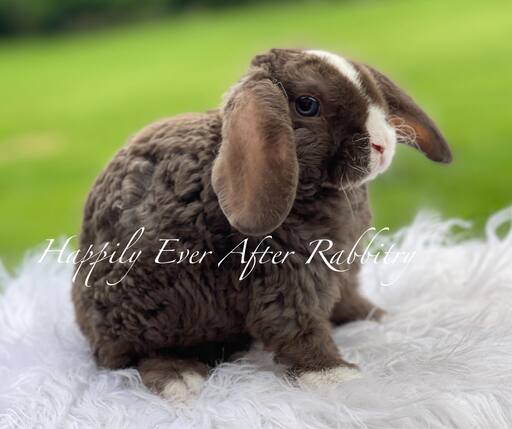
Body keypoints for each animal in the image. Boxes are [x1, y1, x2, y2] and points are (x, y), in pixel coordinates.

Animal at [70, 48, 450, 400]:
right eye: (308, 105)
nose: (382, 144)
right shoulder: (286, 277)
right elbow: (296, 327)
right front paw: (334, 376)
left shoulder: (343, 268)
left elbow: (348, 297)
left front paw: (376, 316)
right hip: (150, 314)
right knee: (144, 355)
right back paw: (180, 379)